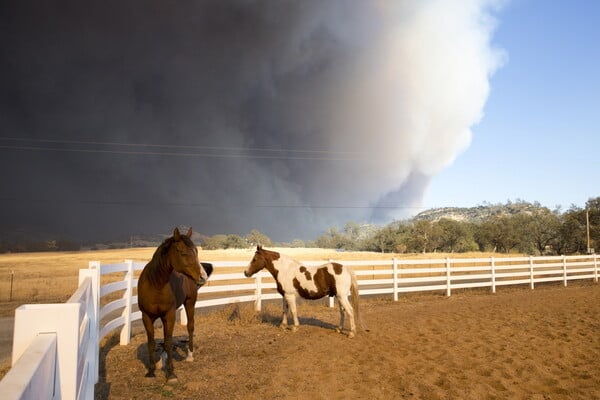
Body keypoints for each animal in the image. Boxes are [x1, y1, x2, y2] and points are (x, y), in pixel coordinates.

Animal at [137, 228, 212, 382]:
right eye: (183, 253)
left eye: (196, 251)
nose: (203, 276)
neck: (155, 284)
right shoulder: (146, 316)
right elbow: (152, 342)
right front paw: (151, 371)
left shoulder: (169, 315)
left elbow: (168, 341)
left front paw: (171, 374)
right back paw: (161, 361)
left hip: (189, 303)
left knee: (190, 327)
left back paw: (189, 355)